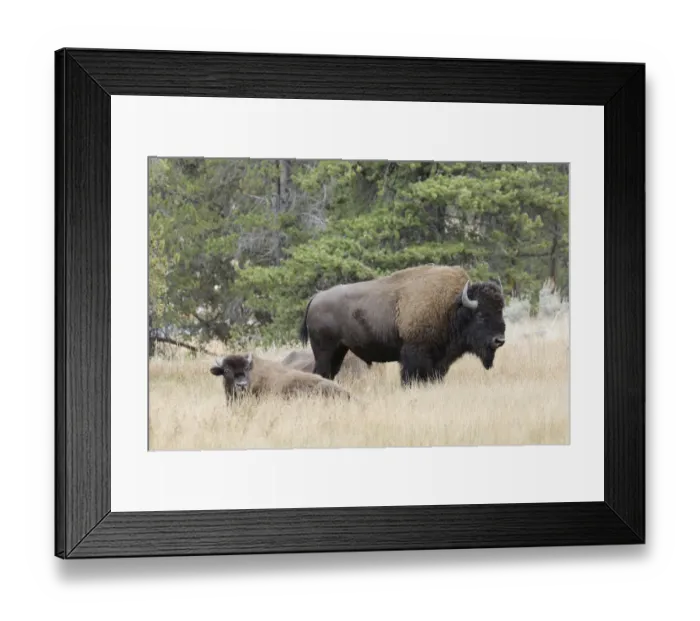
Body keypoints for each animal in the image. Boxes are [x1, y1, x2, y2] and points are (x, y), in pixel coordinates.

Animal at [298, 264, 506, 386]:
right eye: (481, 315)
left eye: (500, 310)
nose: (500, 340)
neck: (451, 306)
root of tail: (316, 297)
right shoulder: (414, 355)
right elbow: (410, 377)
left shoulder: (439, 362)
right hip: (325, 351)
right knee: (321, 372)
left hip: (339, 350)